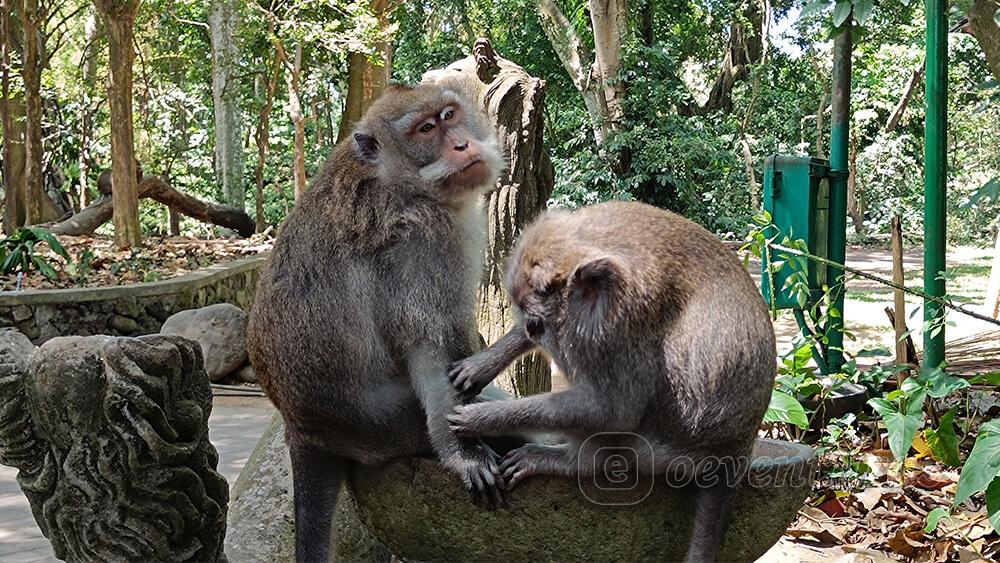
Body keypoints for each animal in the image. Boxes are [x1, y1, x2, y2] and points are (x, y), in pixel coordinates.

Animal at [243, 80, 508, 563]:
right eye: (425, 130)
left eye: (449, 115)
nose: (462, 144)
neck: (401, 183)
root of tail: (300, 428)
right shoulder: (422, 244)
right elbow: (429, 346)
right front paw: (464, 453)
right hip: (386, 426)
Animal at [448, 200, 780, 560]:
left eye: (539, 323)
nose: (534, 331)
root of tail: (736, 453)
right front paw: (482, 364)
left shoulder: (618, 328)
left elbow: (613, 410)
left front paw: (483, 417)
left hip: (663, 453)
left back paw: (576, 462)